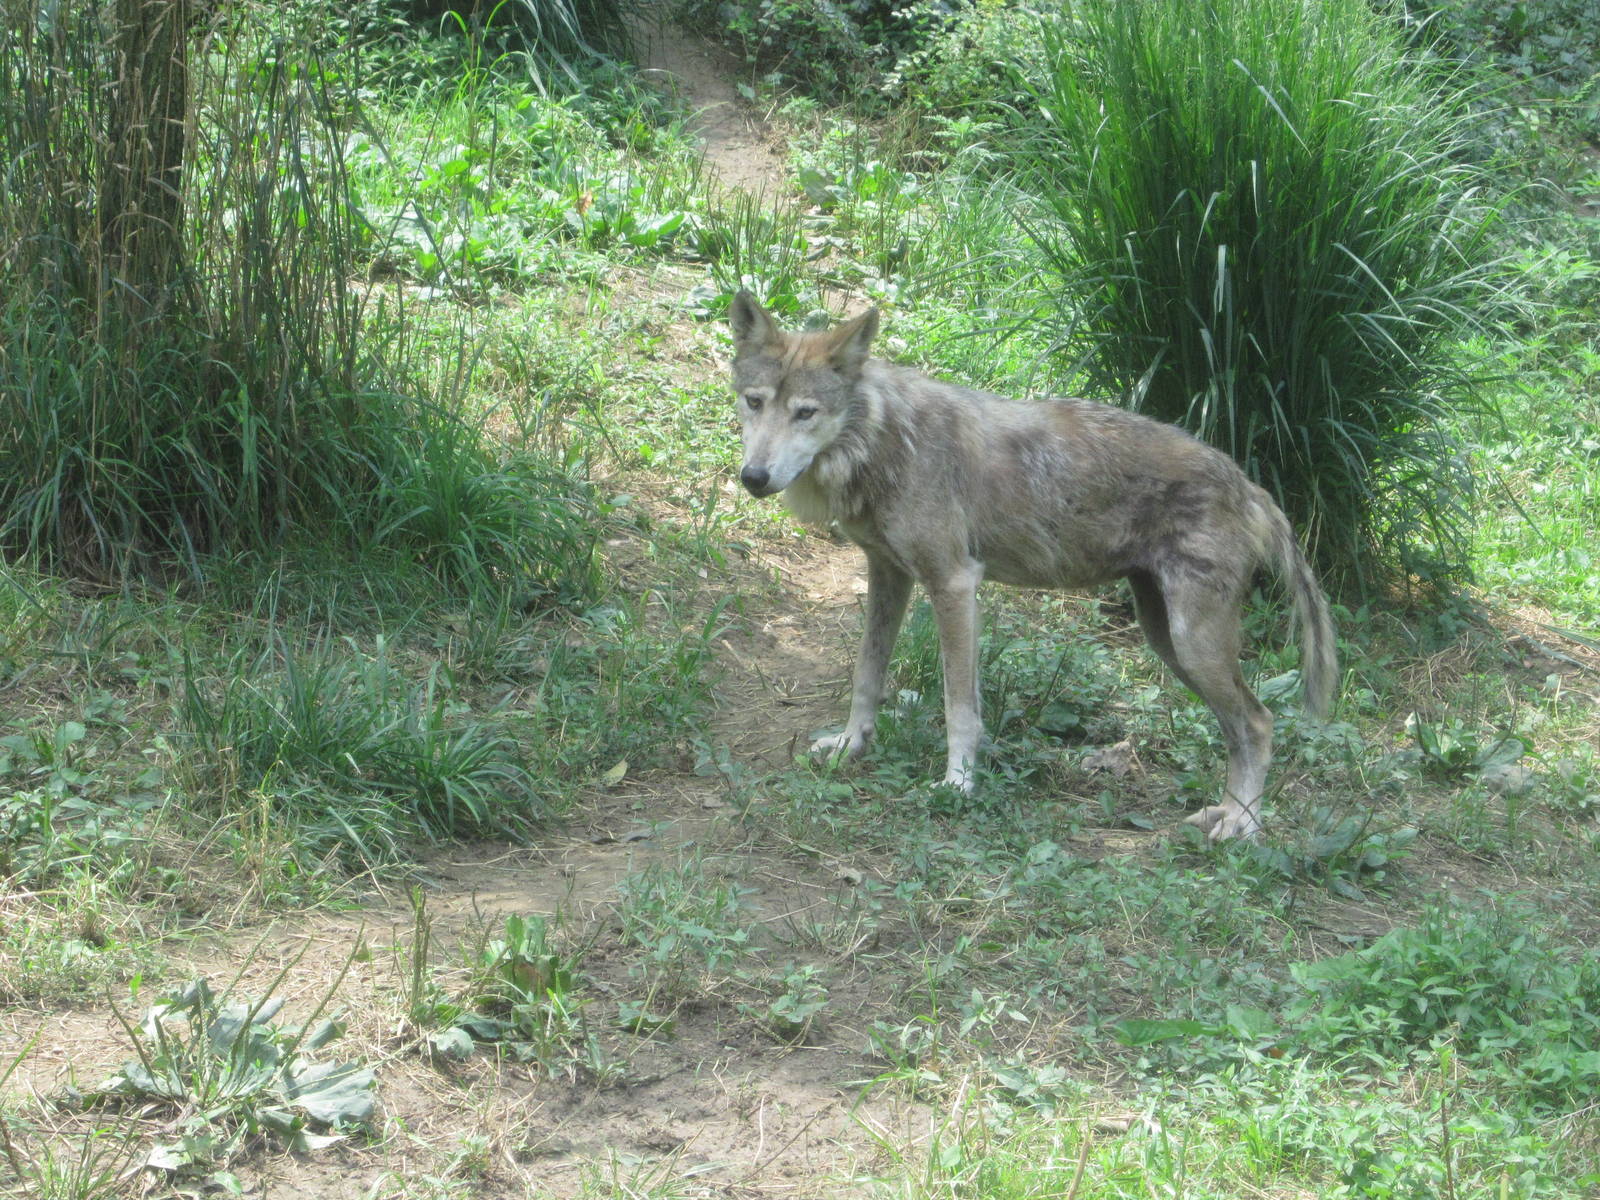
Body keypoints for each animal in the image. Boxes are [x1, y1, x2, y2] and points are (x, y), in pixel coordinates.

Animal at [727, 291, 1337, 840]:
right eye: (754, 403)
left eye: (805, 413)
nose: (754, 477)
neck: (882, 439)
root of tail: (1248, 485)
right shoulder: (888, 576)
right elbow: (866, 676)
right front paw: (852, 746)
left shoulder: (953, 585)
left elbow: (959, 708)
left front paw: (958, 785)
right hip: (1167, 639)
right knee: (1239, 729)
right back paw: (1226, 811)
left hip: (1193, 646)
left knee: (1258, 723)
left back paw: (1243, 824)